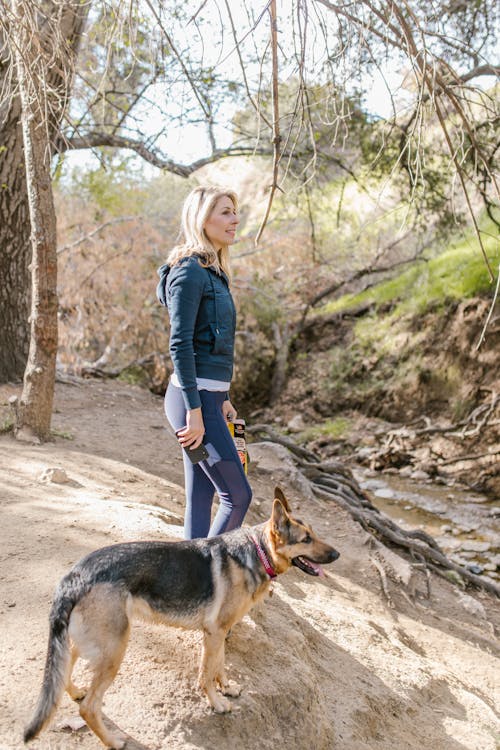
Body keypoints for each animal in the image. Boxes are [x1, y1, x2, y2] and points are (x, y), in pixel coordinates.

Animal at [24, 490, 340, 748]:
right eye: (306, 539)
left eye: (314, 533)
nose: (336, 554)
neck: (257, 551)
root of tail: (74, 575)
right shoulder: (214, 633)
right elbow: (206, 673)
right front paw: (217, 703)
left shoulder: (219, 632)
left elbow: (219, 665)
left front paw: (227, 688)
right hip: (115, 649)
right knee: (89, 707)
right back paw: (113, 741)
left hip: (91, 642)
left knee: (65, 669)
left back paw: (76, 691)